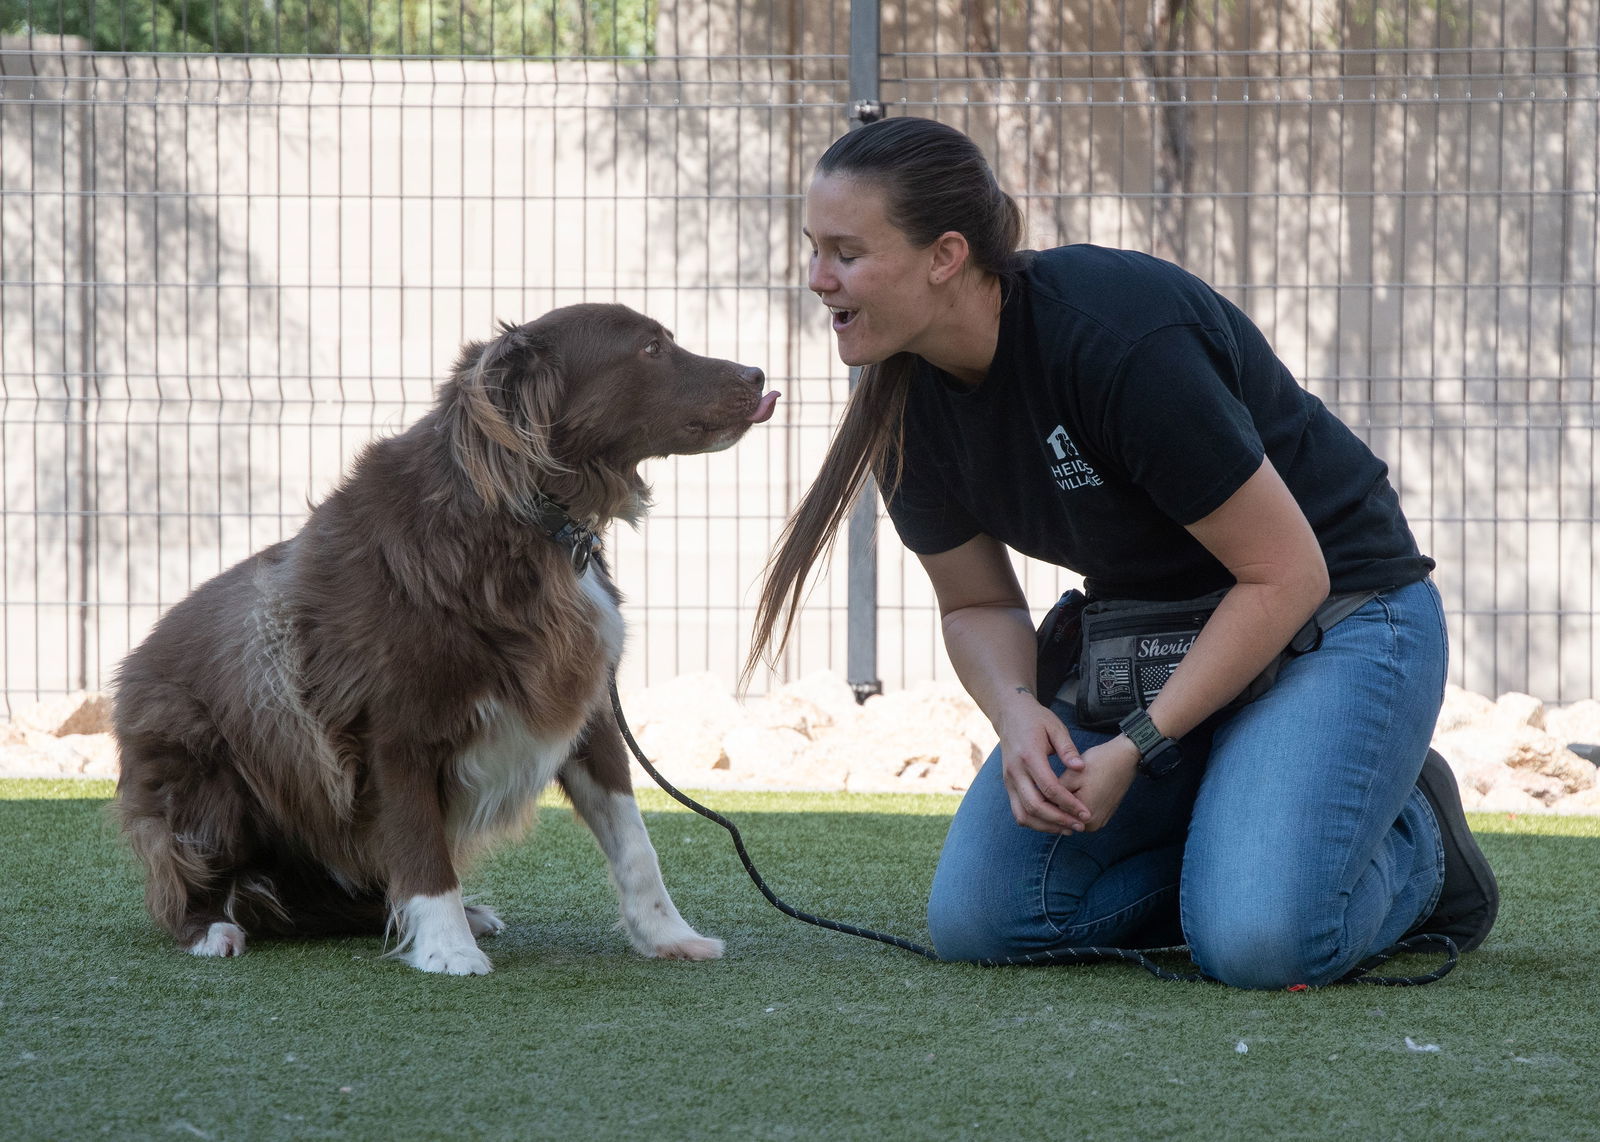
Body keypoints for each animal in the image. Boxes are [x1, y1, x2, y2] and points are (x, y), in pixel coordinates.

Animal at [111, 307, 774, 972]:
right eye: (651, 348)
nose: (760, 373)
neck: (529, 520)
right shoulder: (392, 730)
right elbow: (422, 849)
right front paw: (447, 951)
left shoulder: (586, 707)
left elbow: (635, 842)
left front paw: (668, 935)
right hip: (206, 775)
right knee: (191, 880)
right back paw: (211, 930)